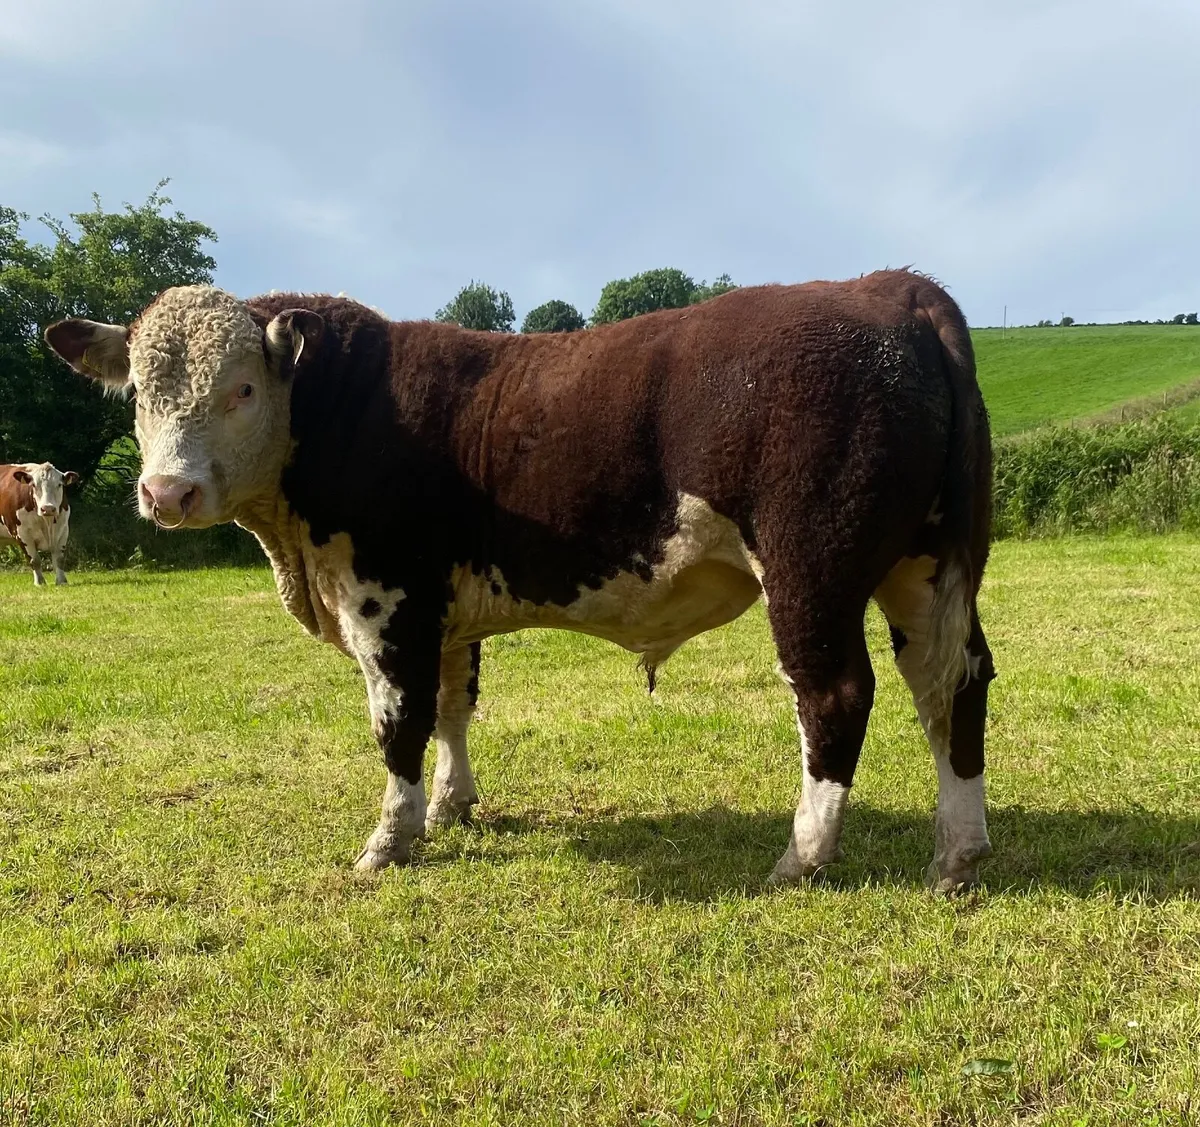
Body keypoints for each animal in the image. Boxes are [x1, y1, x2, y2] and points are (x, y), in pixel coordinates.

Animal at [45, 270, 996, 891]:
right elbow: (453, 707)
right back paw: (957, 850)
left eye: (242, 388)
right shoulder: (445, 610)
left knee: (837, 692)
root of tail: (889, 286)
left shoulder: (387, 597)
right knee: (951, 681)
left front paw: (390, 841)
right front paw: (452, 806)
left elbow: (399, 722)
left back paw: (802, 856)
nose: (166, 492)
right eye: (139, 390)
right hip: (926, 562)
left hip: (812, 565)